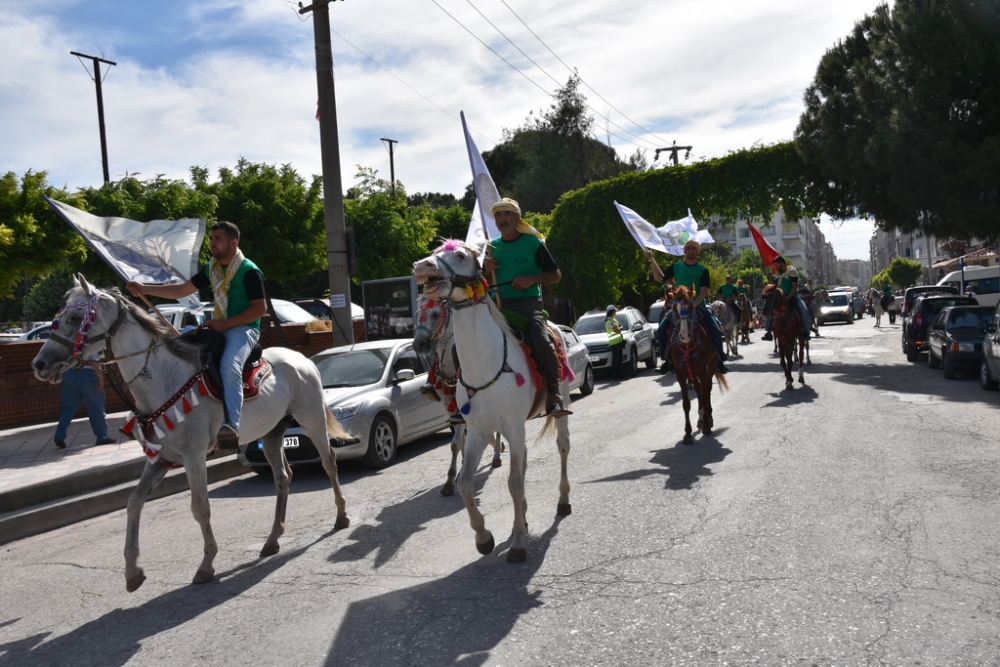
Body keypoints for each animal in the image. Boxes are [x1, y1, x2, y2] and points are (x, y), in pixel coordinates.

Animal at [30, 274, 352, 592]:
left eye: (75, 317)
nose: (40, 364)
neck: (162, 379)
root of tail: (303, 359)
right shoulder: (160, 458)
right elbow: (134, 503)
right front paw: (133, 571)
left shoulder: (193, 455)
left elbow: (200, 507)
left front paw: (206, 564)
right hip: (271, 434)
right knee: (283, 478)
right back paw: (272, 539)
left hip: (311, 419)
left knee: (329, 463)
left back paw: (341, 516)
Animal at [668, 286, 732, 444]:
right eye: (674, 309)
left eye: (691, 308)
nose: (684, 335)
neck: (687, 346)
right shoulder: (681, 374)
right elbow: (686, 403)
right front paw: (687, 434)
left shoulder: (703, 371)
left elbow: (704, 393)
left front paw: (707, 427)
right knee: (698, 390)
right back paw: (701, 417)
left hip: (712, 366)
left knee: (706, 390)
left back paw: (708, 418)